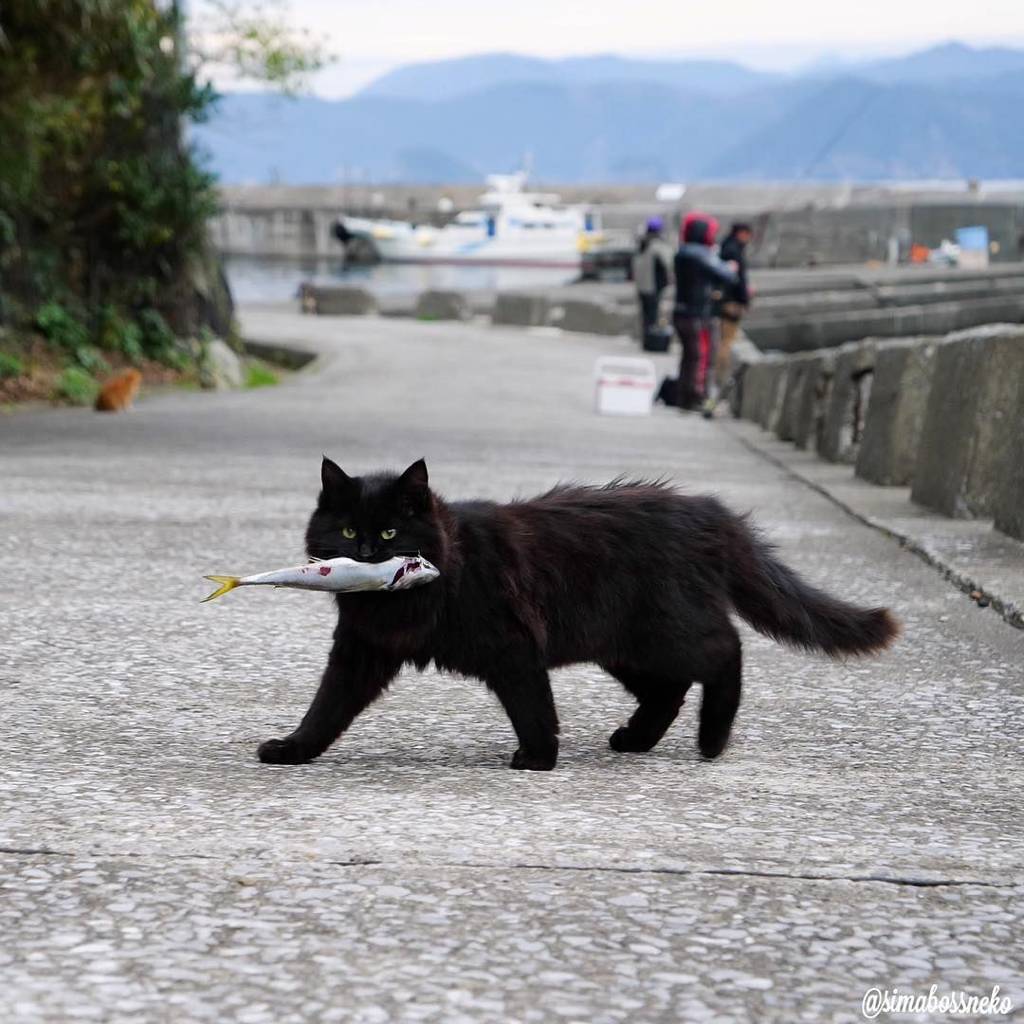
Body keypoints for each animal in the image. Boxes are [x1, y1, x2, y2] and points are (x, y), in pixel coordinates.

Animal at [258, 460, 897, 770]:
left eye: (391, 532)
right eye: (347, 531)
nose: (367, 552)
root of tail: (709, 511)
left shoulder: (514, 647)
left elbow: (533, 707)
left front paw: (539, 759)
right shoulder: (361, 650)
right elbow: (327, 707)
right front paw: (294, 749)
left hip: (662, 632)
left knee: (725, 651)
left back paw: (713, 740)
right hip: (622, 646)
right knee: (669, 689)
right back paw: (636, 740)